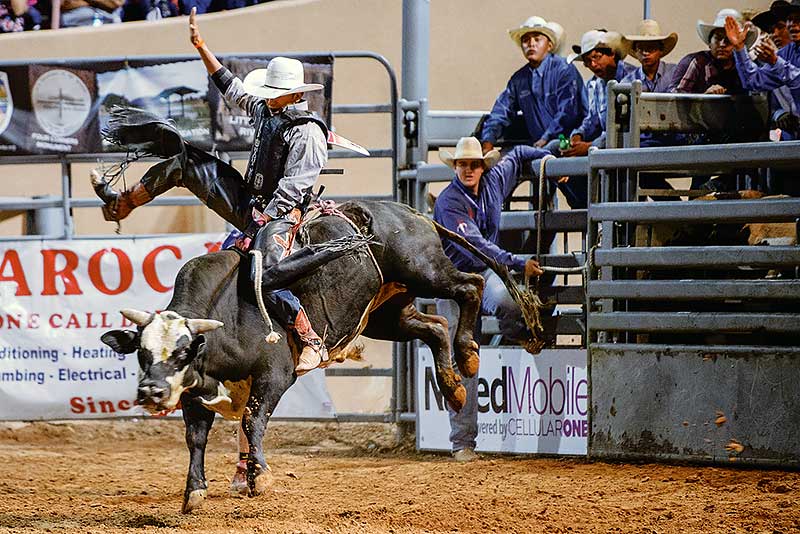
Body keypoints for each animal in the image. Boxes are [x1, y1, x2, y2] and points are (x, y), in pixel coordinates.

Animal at [98, 199, 536, 512]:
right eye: (142, 352)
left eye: (184, 349)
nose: (151, 392)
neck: (228, 315)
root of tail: (410, 212)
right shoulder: (196, 393)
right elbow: (196, 438)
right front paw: (194, 492)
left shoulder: (274, 375)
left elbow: (254, 420)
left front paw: (260, 478)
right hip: (387, 313)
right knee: (434, 326)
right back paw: (455, 387)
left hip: (424, 270)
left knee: (471, 285)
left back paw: (469, 354)